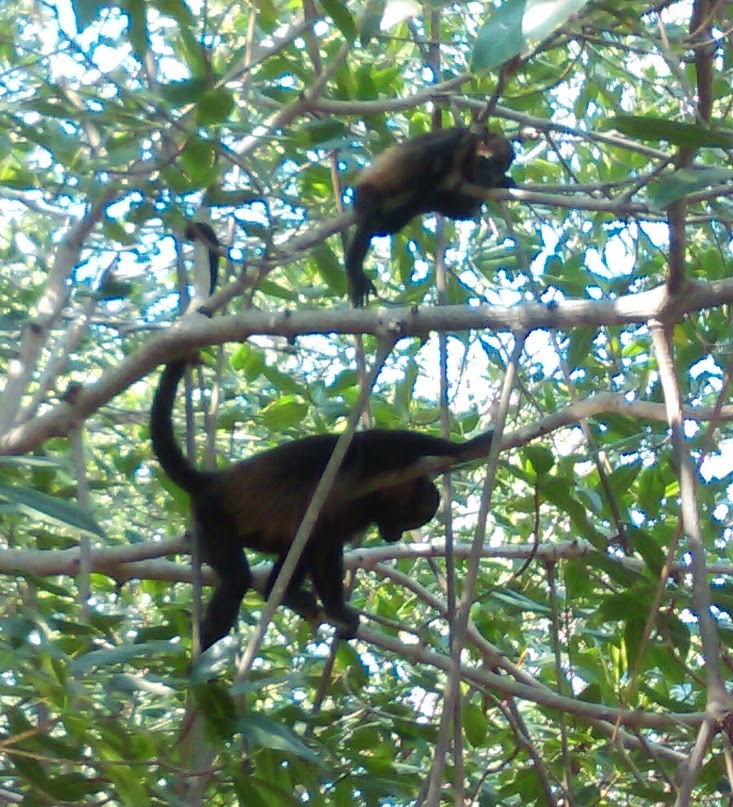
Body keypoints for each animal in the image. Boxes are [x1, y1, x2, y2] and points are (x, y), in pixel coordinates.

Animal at [149, 360, 494, 652]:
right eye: (406, 521)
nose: (394, 537)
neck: (372, 501)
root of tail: (213, 482)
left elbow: (324, 549)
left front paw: (338, 611)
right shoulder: (377, 463)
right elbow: (374, 440)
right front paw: (467, 447)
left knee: (300, 544)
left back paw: (280, 592)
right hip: (213, 516)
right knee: (238, 578)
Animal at [344, 128, 512, 308]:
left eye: (500, 170)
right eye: (489, 162)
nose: (490, 179)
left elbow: (463, 211)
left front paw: (504, 182)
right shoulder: (451, 143)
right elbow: (424, 165)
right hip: (366, 194)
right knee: (370, 219)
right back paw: (354, 268)